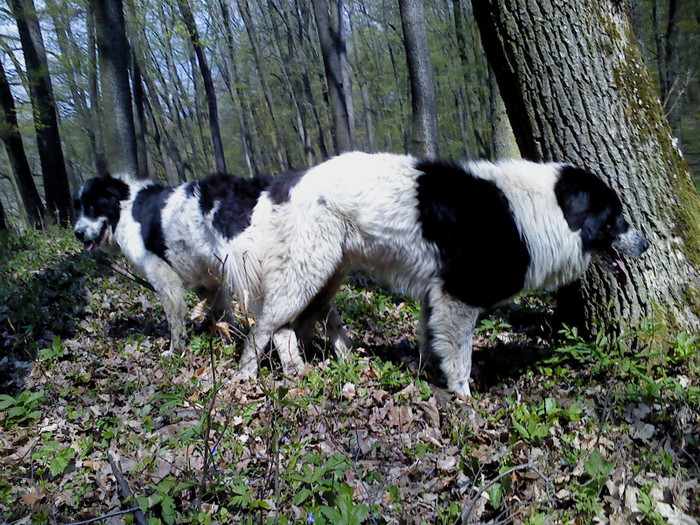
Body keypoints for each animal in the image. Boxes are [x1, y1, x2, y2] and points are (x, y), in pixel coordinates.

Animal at [241, 151, 652, 392]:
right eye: (616, 218)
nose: (646, 244)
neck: (547, 210)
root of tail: (282, 184)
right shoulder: (458, 295)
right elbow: (460, 357)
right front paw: (463, 399)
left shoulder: (435, 296)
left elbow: (430, 340)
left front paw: (429, 377)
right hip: (307, 272)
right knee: (262, 328)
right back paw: (245, 378)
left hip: (324, 275)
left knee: (287, 326)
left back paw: (300, 370)